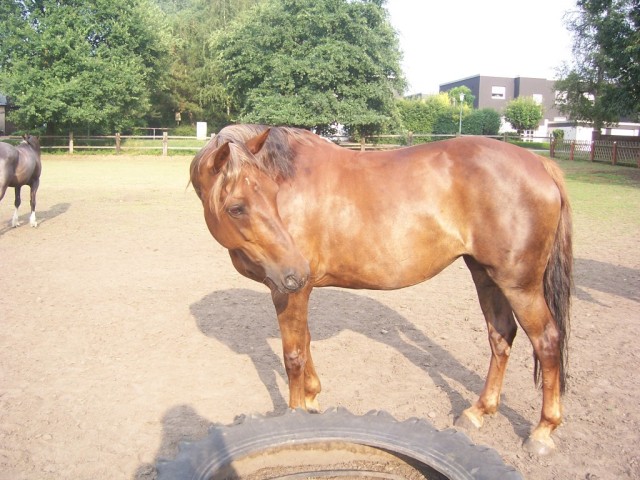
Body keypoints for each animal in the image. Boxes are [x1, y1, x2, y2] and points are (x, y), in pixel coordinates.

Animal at [188, 124, 572, 454]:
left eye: (271, 193)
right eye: (237, 207)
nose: (296, 268)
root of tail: (539, 163)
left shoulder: (289, 290)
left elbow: (293, 355)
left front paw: (297, 414)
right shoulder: (299, 289)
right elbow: (306, 344)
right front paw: (313, 400)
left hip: (518, 284)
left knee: (546, 340)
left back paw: (542, 431)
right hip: (486, 275)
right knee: (501, 336)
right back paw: (478, 411)